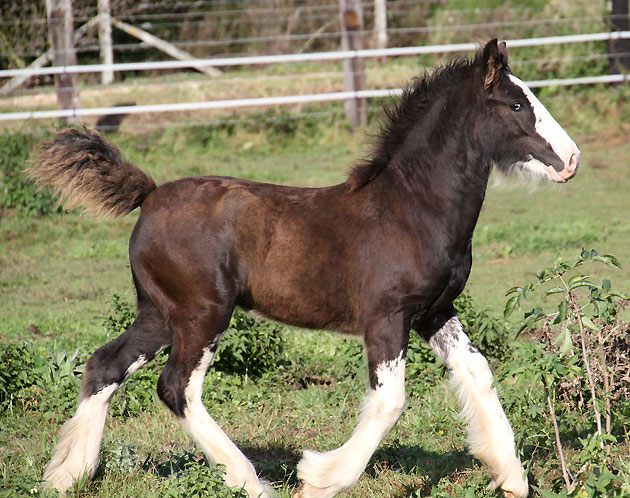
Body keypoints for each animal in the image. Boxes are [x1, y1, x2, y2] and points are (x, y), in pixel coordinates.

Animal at [32, 40, 580, 498]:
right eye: (516, 105)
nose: (571, 159)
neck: (411, 209)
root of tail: (148, 195)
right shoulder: (386, 317)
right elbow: (390, 401)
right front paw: (320, 478)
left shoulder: (433, 311)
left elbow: (477, 371)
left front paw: (510, 477)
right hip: (201, 314)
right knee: (177, 386)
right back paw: (250, 482)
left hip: (159, 314)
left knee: (105, 365)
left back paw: (64, 475)